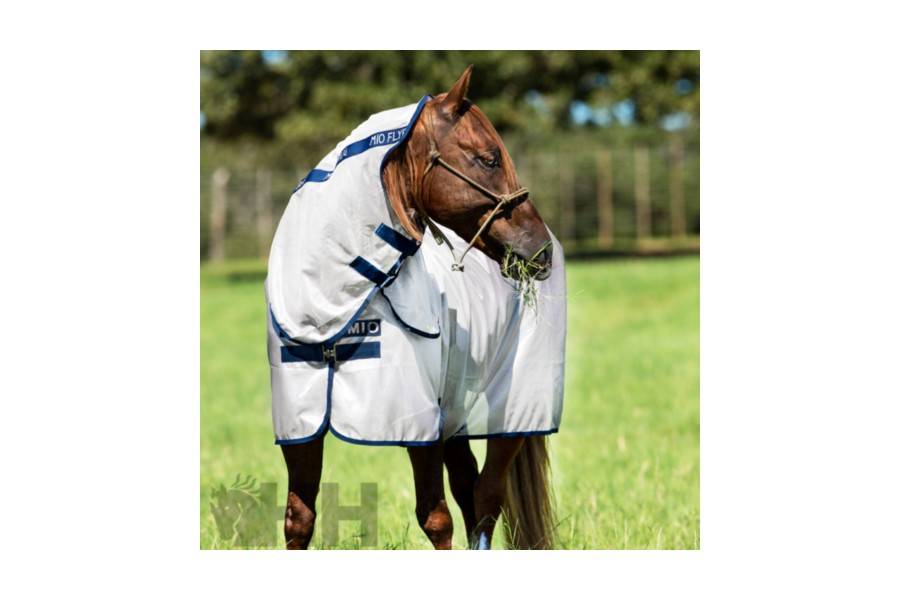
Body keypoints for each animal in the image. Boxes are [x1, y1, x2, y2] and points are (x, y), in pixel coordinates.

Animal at [268, 66, 565, 550]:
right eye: (488, 159)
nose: (540, 252)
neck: (332, 309)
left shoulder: (417, 424)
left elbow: (435, 518)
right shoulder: (299, 426)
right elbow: (299, 518)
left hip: (514, 412)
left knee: (487, 495)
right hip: (456, 413)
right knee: (470, 488)